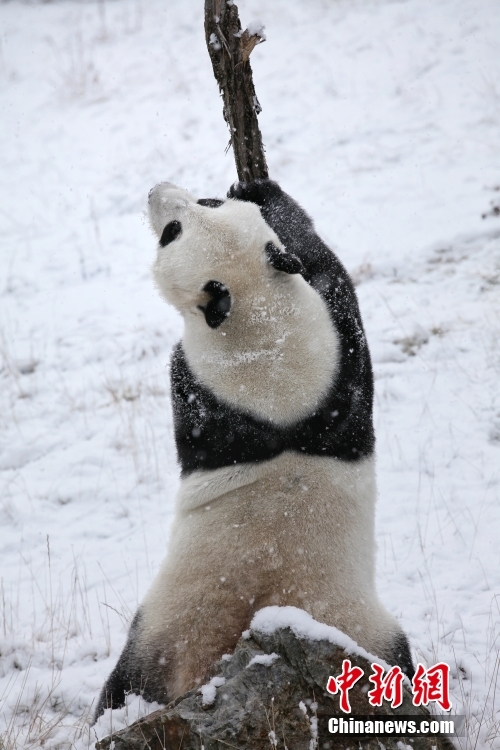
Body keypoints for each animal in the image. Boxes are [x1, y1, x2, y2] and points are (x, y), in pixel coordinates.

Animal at [94, 179, 414, 720]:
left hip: (165, 628)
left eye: (176, 227)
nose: (158, 190)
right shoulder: (340, 370)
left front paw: (262, 189)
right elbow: (330, 279)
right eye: (196, 210)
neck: (260, 316)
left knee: (117, 687)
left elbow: (325, 269)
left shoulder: (205, 379)